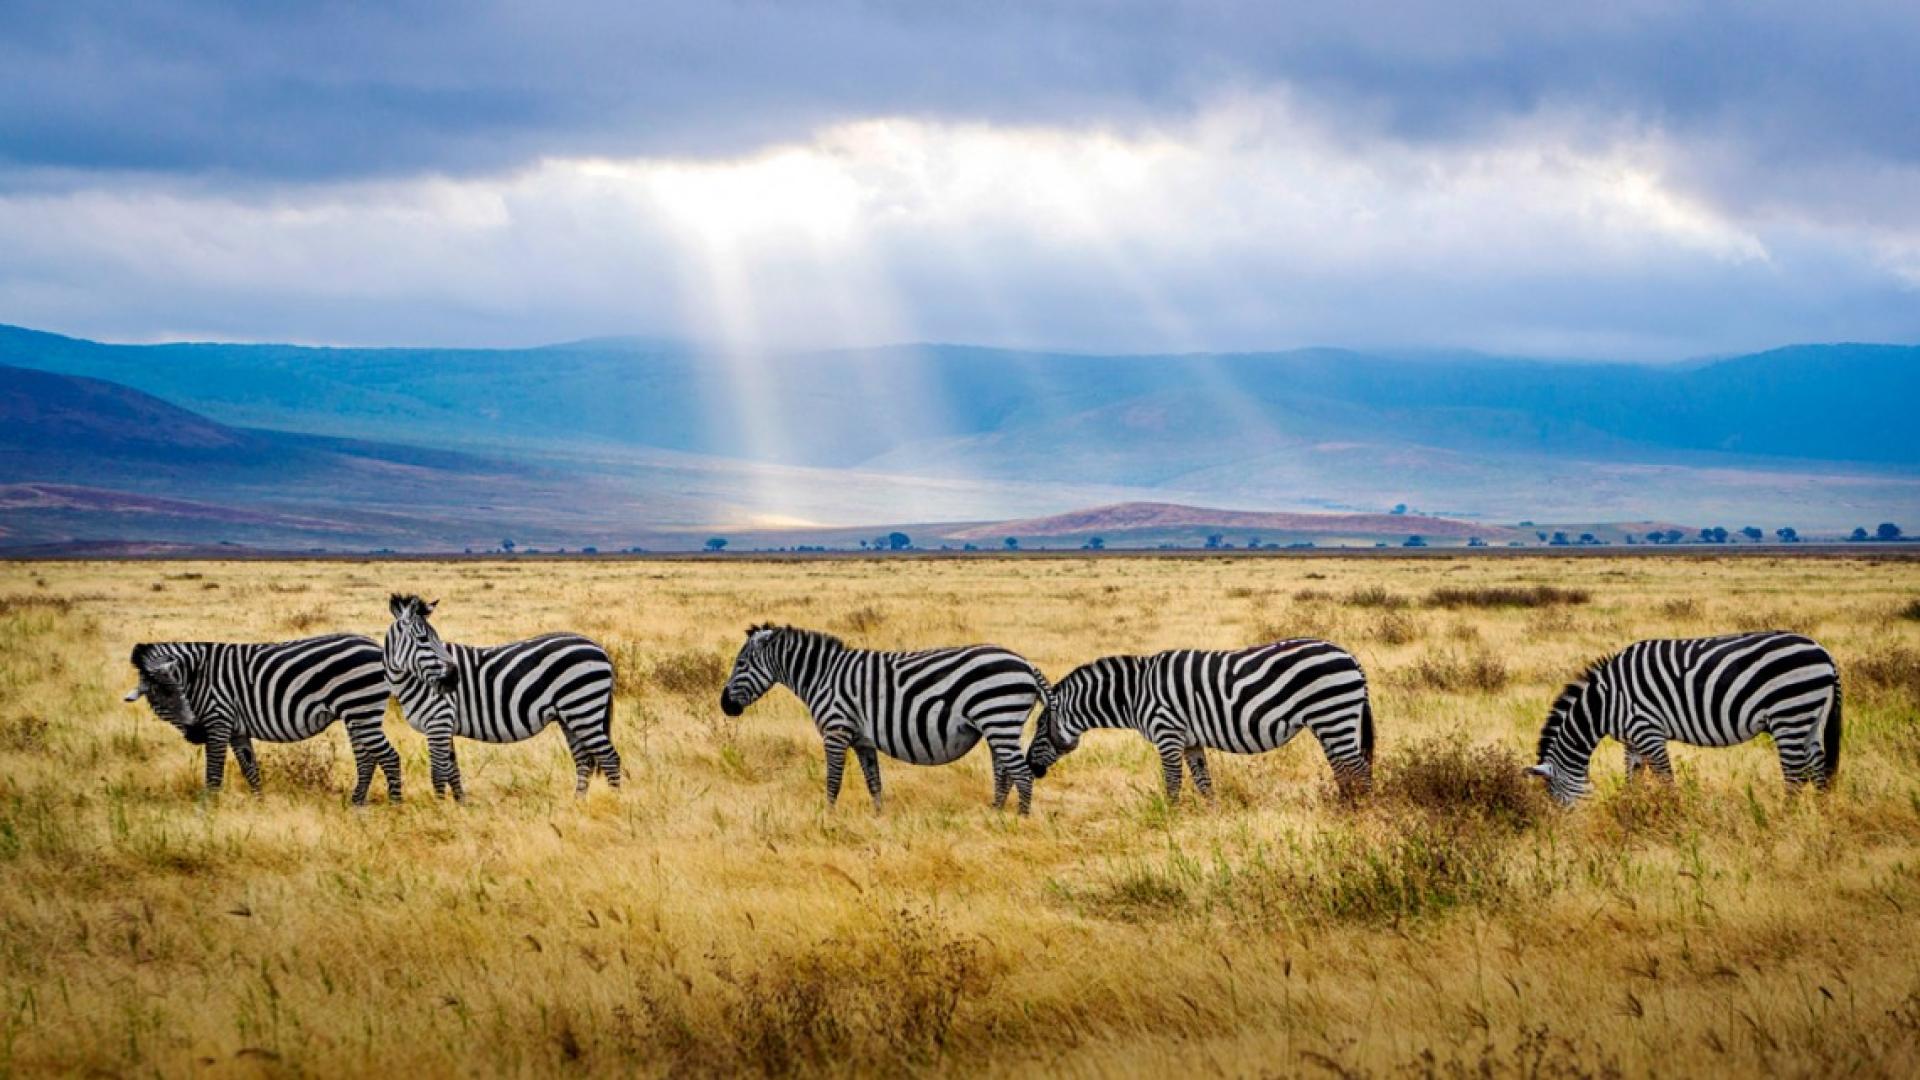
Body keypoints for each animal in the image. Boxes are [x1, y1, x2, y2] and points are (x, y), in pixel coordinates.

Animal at [123, 634, 402, 804]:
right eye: (159, 700)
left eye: (180, 692)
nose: (196, 734)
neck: (197, 676)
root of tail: (376, 646)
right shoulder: (236, 730)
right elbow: (250, 769)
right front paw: (260, 804)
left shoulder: (218, 720)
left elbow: (213, 774)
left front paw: (207, 811)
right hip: (357, 714)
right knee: (366, 759)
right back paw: (357, 803)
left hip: (361, 709)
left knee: (389, 757)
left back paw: (395, 806)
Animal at [383, 594, 620, 800]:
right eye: (423, 638)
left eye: (436, 638)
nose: (453, 678)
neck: (412, 681)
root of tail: (599, 647)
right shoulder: (444, 726)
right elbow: (453, 771)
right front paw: (461, 805)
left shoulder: (439, 721)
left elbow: (439, 773)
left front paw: (440, 809)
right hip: (570, 716)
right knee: (584, 760)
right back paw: (577, 804)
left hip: (583, 709)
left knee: (610, 758)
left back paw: (615, 801)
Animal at [720, 624, 1051, 814]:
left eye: (741, 663)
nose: (724, 705)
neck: (822, 676)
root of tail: (1026, 664)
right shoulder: (862, 740)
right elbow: (874, 782)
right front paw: (879, 819)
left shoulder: (836, 731)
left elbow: (833, 780)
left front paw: (828, 818)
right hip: (998, 726)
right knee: (1004, 772)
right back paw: (994, 815)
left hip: (998, 719)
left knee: (1022, 774)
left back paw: (1019, 821)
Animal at [1024, 639, 1375, 803]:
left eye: (1040, 728)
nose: (1030, 767)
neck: (1135, 694)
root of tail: (1350, 656)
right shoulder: (1190, 741)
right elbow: (1204, 783)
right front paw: (1211, 819)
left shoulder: (1167, 734)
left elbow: (1172, 782)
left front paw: (1170, 820)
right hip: (1331, 722)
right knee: (1343, 768)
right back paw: (1345, 807)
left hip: (1333, 715)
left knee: (1358, 768)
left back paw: (1363, 812)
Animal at [1529, 631, 1841, 804]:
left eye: (1555, 797)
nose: (1566, 831)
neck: (1604, 703)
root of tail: (1823, 652)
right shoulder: (1632, 739)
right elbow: (1633, 778)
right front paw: (1630, 811)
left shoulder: (1648, 731)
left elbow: (1666, 779)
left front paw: (1674, 815)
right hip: (1809, 717)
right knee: (1818, 769)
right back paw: (1822, 821)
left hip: (1788, 713)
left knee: (1796, 775)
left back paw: (1782, 822)